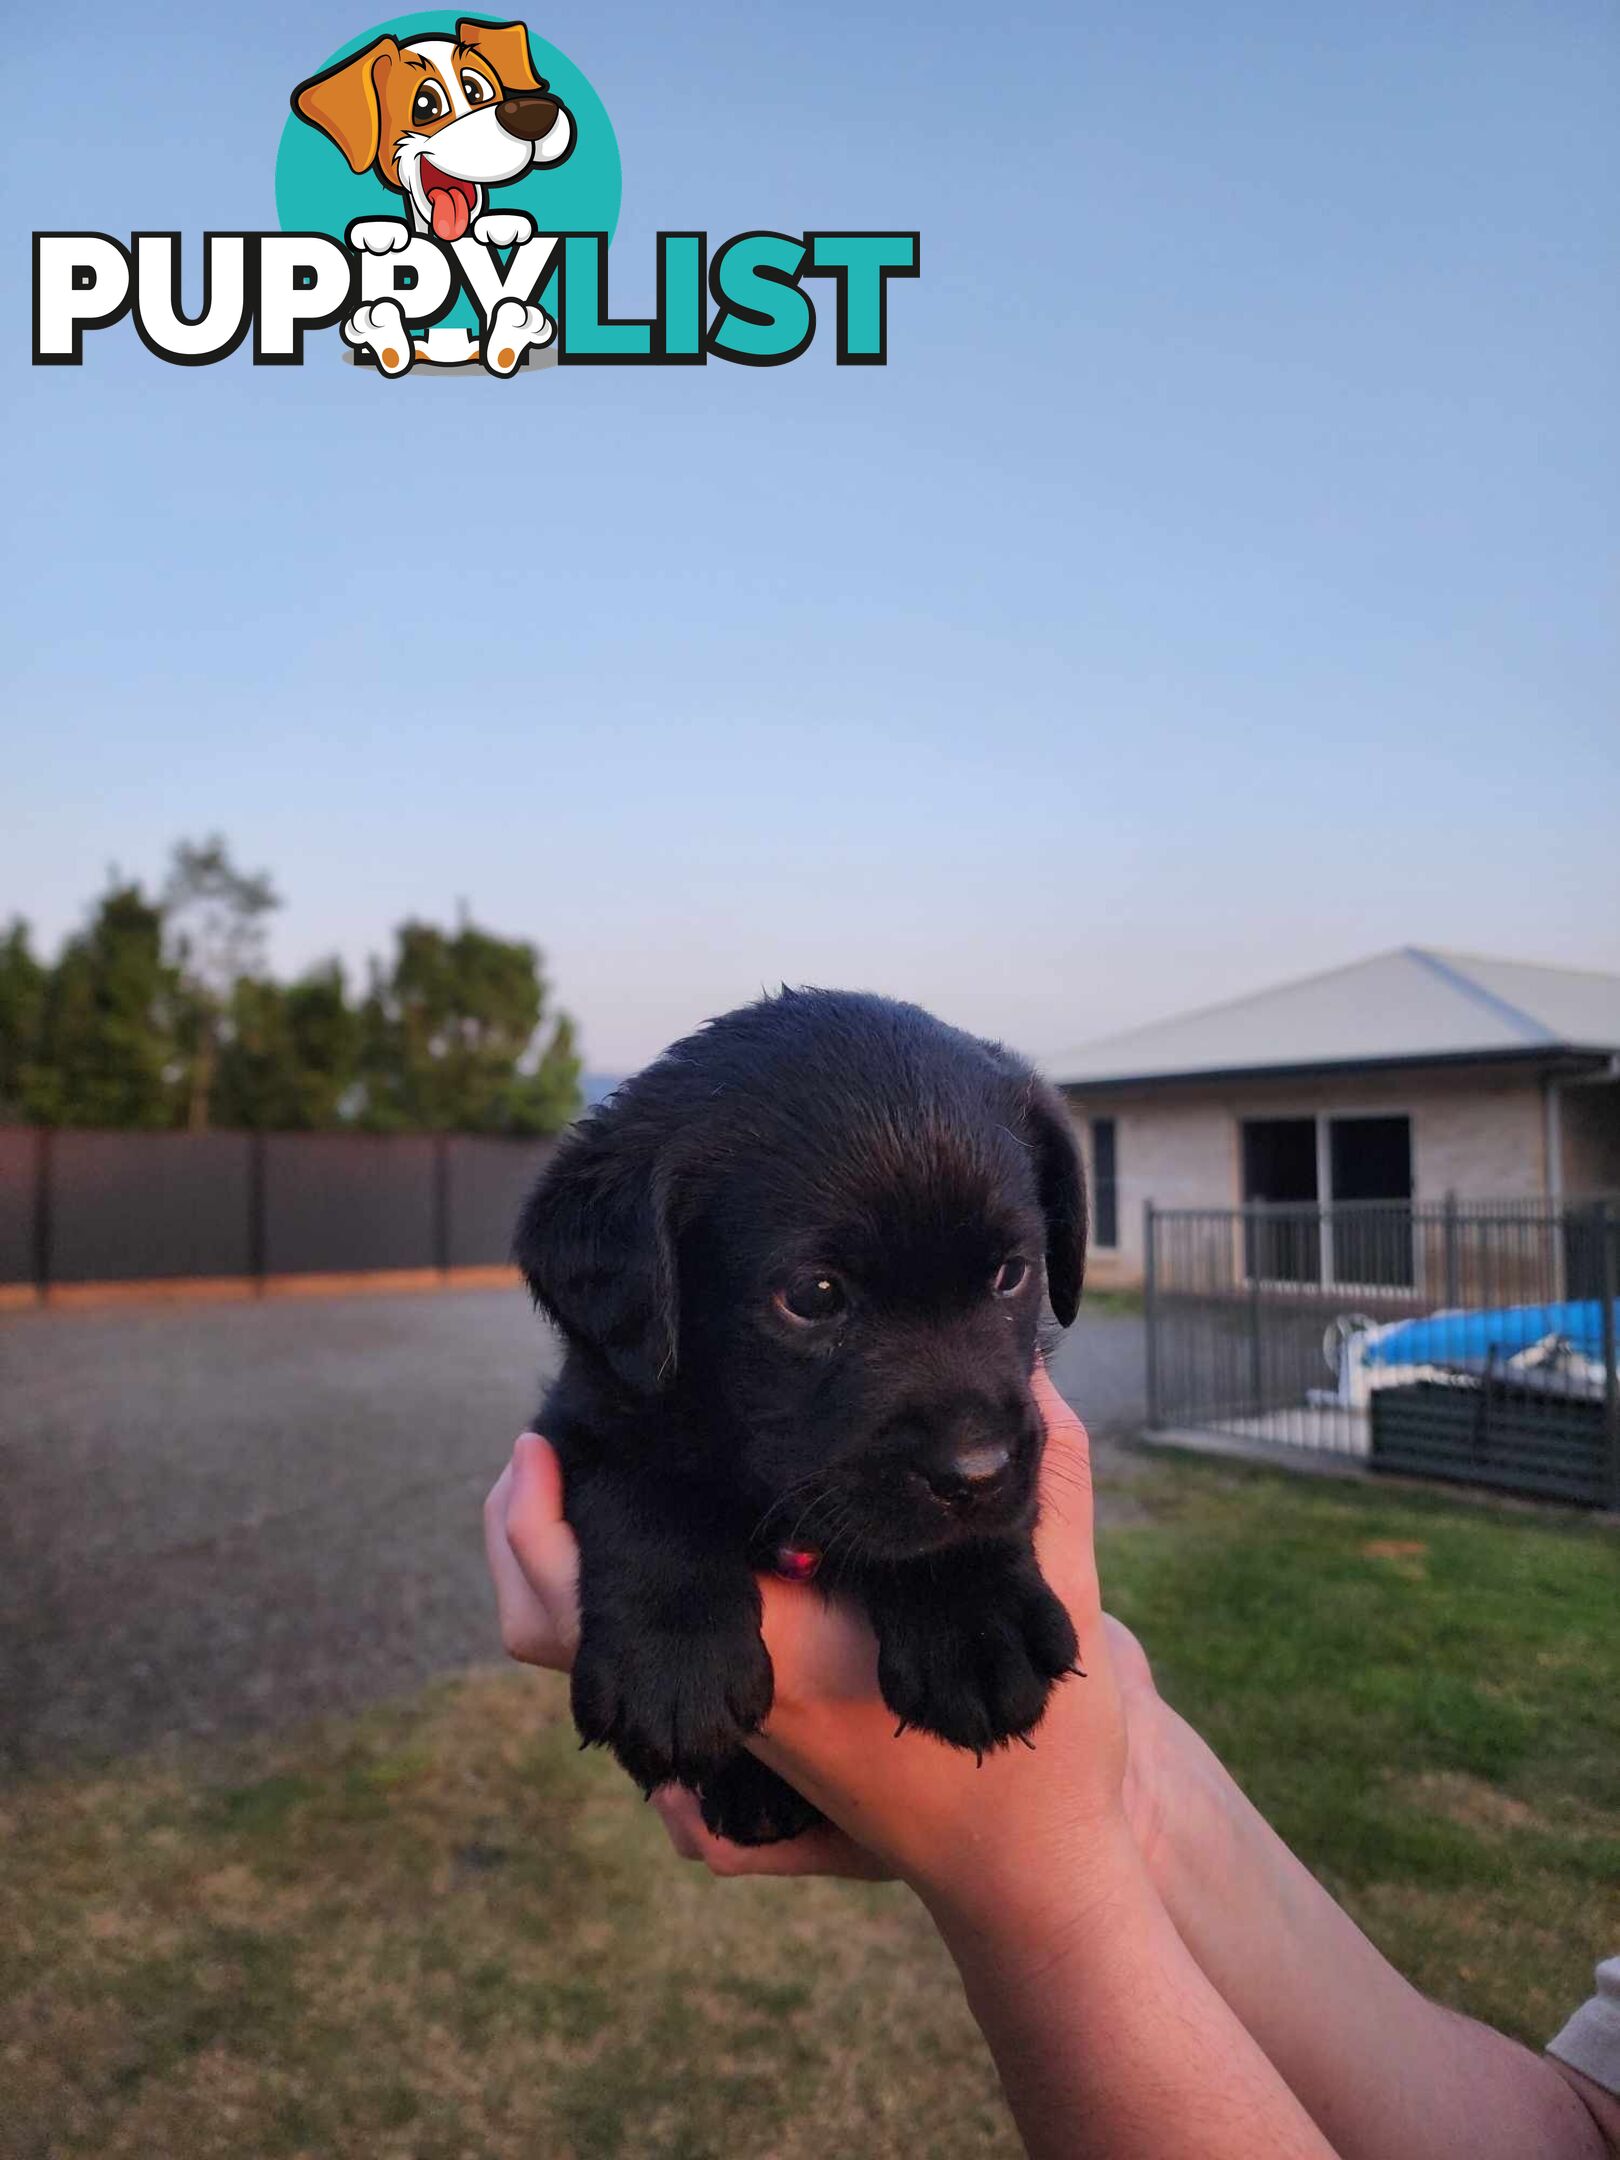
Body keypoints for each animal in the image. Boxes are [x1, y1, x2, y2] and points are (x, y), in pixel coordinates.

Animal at [514, 989, 1084, 1848]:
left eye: (1012, 1274)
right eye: (814, 1295)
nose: (977, 1473)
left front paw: (978, 1622)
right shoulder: (588, 1415)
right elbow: (646, 1493)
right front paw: (675, 1665)